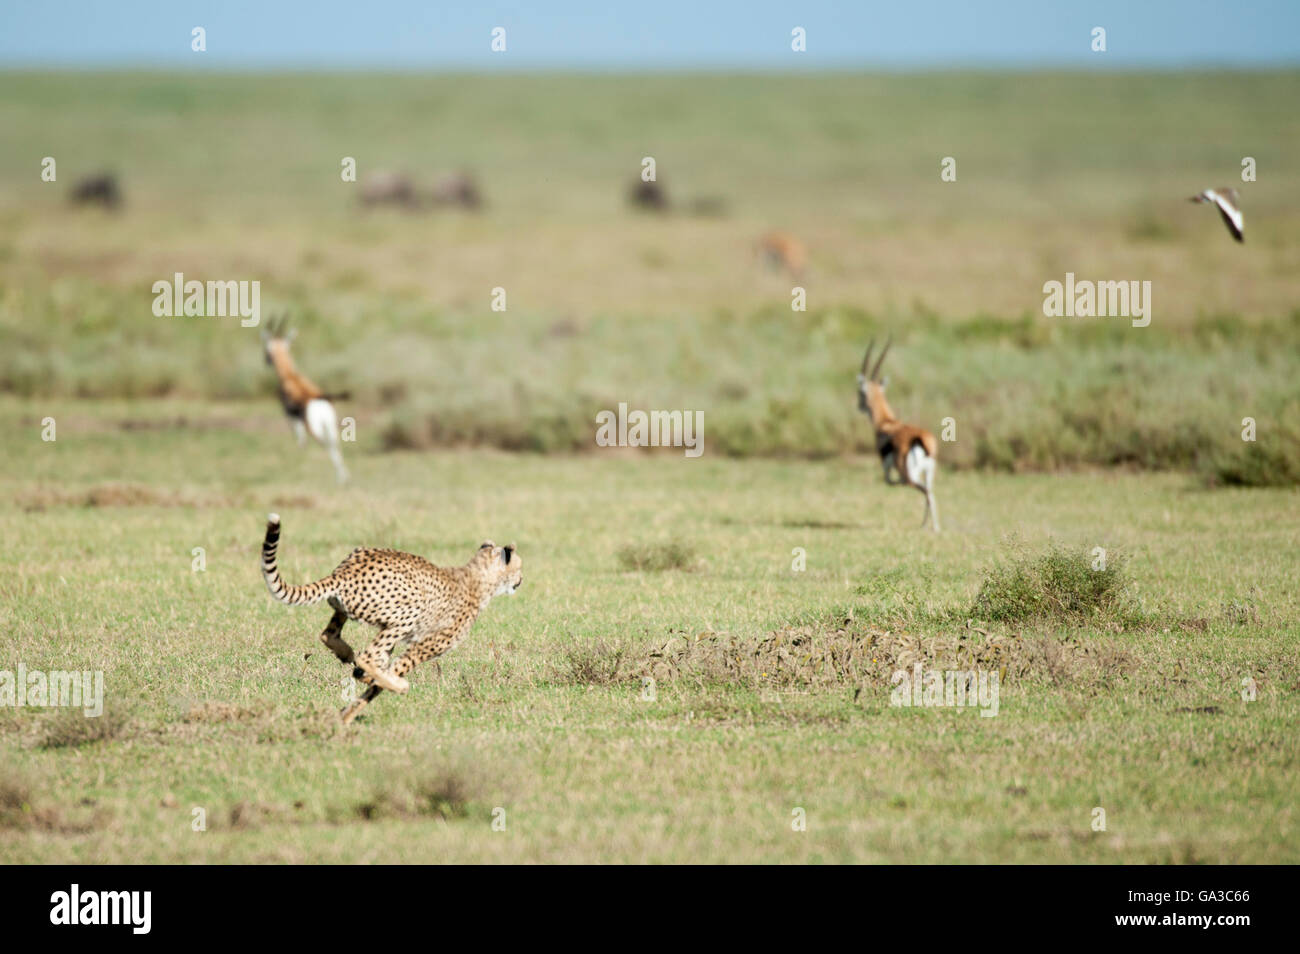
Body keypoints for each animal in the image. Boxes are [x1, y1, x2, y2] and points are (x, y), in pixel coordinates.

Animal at [261, 315, 349, 484]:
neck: (290, 376)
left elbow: (300, 441)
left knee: (328, 447)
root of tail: (319, 399)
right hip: (331, 427)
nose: (266, 360)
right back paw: (344, 479)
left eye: (267, 349)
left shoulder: (291, 417)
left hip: (316, 430)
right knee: (336, 448)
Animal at [857, 338, 940, 531]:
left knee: (923, 490)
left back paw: (930, 527)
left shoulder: (886, 466)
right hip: (929, 470)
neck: (886, 422)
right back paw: (929, 526)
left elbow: (888, 481)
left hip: (911, 473)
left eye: (860, 392)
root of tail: (920, 440)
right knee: (930, 492)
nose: (860, 406)